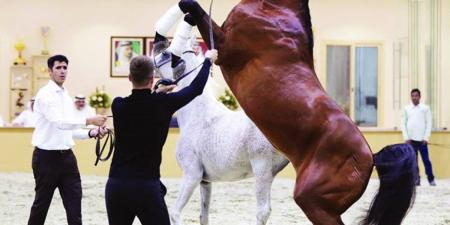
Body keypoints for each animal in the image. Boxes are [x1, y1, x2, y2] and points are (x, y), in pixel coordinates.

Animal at [178, 0, 416, 224]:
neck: (274, 10)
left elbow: (199, 11)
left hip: (311, 199)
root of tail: (371, 157)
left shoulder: (225, 46)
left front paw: (186, 7)